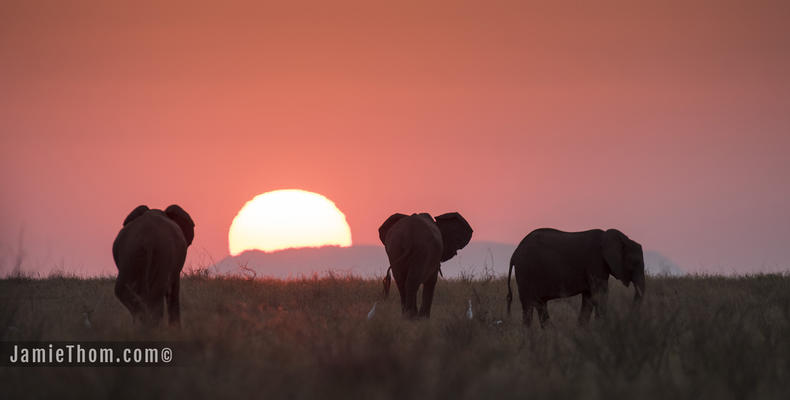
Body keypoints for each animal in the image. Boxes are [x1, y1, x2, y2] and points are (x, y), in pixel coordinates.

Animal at [510, 230, 648, 326]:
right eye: (635, 263)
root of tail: (515, 253)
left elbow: (589, 298)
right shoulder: (595, 263)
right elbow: (600, 295)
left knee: (540, 304)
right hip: (526, 272)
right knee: (528, 305)